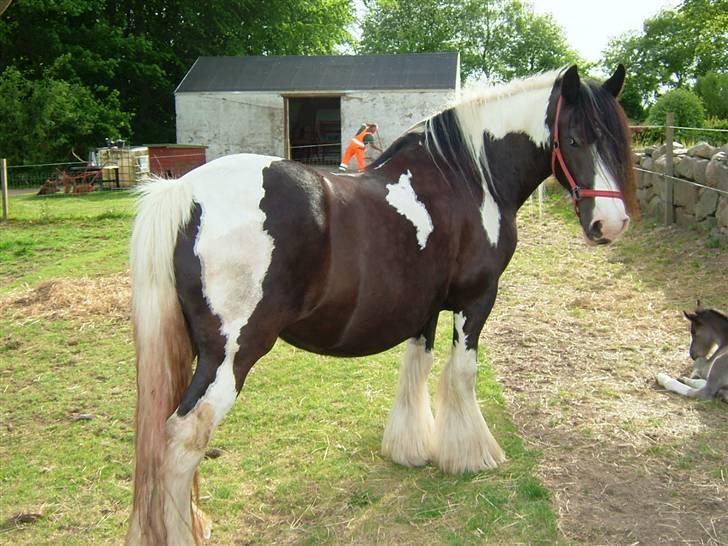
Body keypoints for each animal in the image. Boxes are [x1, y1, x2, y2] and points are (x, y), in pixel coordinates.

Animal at [129, 63, 636, 540]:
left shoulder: (423, 309)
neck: (468, 177)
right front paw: (471, 455)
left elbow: (417, 369)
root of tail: (186, 192)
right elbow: (462, 373)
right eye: (574, 138)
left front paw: (411, 449)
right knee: (184, 438)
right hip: (231, 353)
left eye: (617, 141)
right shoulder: (476, 301)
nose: (610, 224)